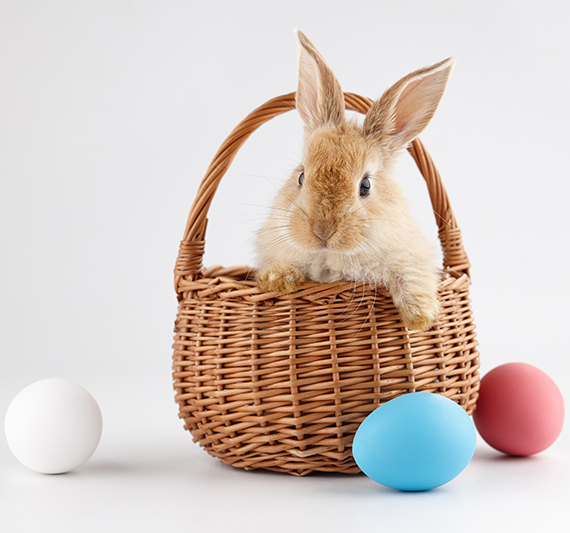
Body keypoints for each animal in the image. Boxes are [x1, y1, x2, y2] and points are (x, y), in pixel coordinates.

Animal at [254, 31, 452, 330]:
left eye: (365, 185)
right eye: (301, 176)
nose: (323, 231)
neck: (331, 257)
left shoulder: (410, 254)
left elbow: (410, 274)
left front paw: (420, 317)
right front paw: (276, 280)